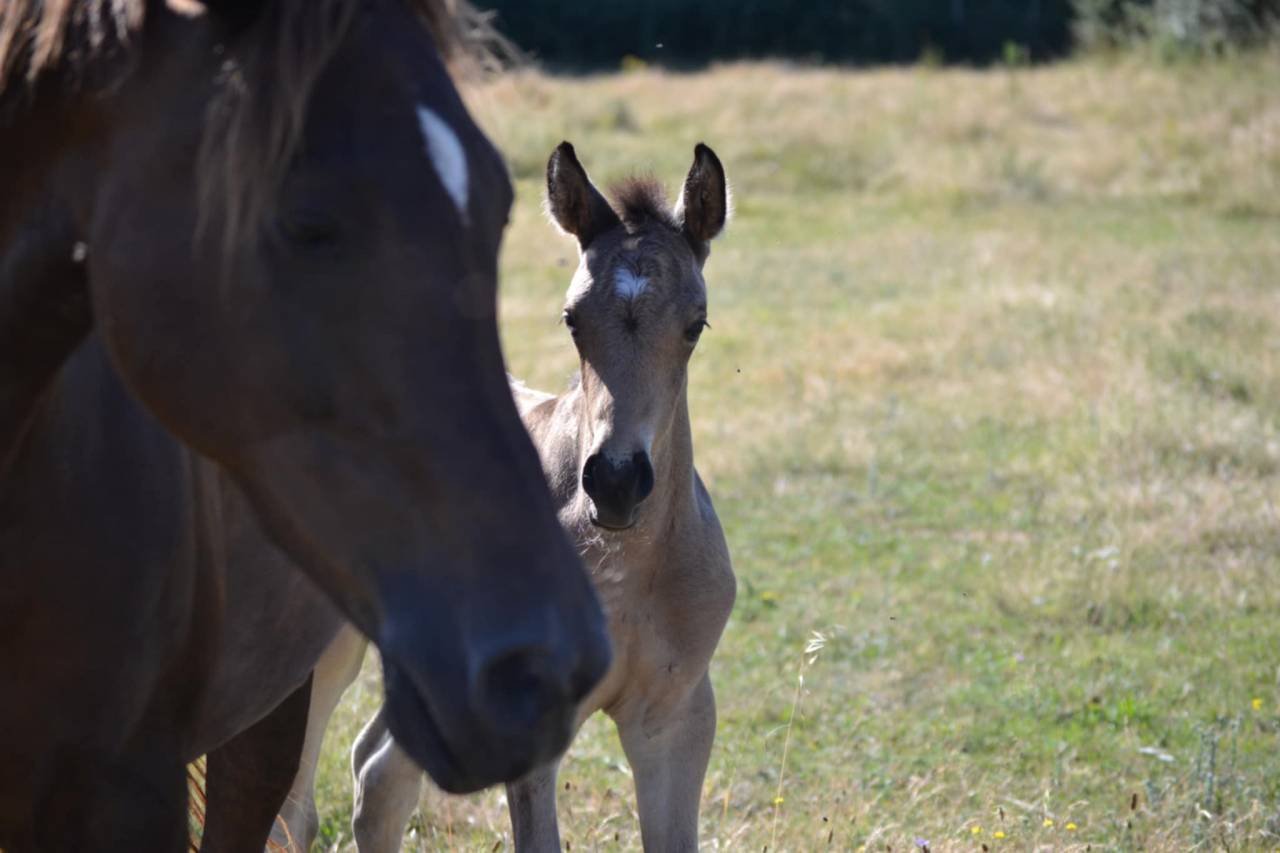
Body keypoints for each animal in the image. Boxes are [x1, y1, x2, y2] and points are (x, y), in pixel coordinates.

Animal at [278, 141, 737, 852]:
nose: (616, 481)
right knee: (296, 808)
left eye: (695, 324)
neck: (629, 567)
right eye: (572, 321)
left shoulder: (675, 717)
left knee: (377, 773)